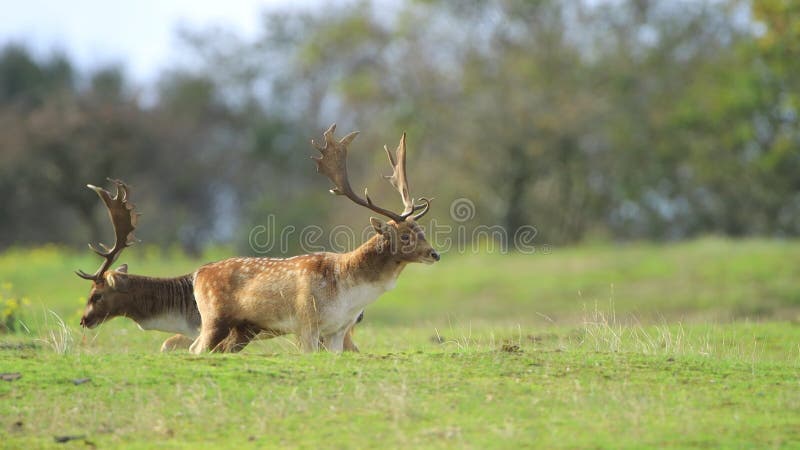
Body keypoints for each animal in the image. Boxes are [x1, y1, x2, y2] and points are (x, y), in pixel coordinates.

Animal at [189, 124, 438, 356]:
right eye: (405, 235)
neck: (347, 296)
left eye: (422, 230)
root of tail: (198, 274)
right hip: (214, 318)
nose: (434, 254)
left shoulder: (338, 330)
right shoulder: (306, 322)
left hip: (242, 330)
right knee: (195, 348)